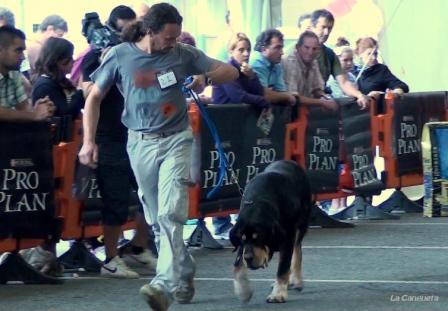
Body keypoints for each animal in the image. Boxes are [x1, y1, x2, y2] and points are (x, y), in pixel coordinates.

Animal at [229, 161, 310, 304]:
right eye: (242, 239)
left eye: (259, 238)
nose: (248, 258)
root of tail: (291, 162)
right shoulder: (242, 244)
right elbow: (238, 264)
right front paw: (243, 291)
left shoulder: (287, 238)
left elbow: (283, 267)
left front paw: (278, 294)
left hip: (301, 224)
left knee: (297, 251)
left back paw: (297, 280)